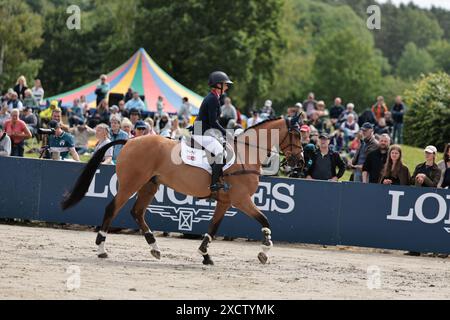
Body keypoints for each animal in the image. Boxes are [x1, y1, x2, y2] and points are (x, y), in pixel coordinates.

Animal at [61, 115, 304, 264]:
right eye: (296, 134)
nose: (300, 162)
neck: (247, 152)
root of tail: (129, 141)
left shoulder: (225, 202)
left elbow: (213, 228)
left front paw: (205, 255)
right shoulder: (241, 199)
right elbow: (265, 221)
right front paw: (264, 251)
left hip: (150, 185)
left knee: (137, 212)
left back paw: (155, 248)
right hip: (131, 183)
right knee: (112, 208)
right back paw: (102, 249)